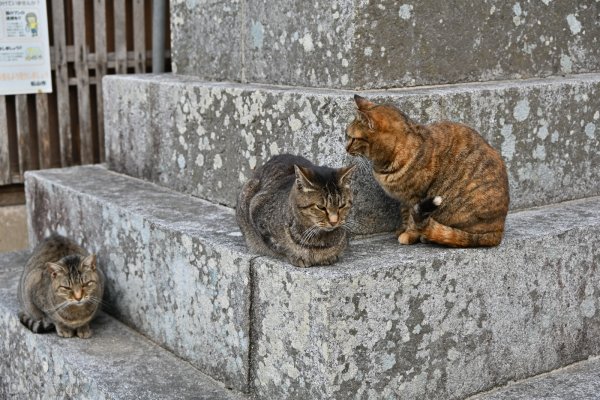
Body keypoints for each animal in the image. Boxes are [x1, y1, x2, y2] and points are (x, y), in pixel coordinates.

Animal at [346, 95, 510, 248]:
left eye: (352, 138)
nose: (345, 148)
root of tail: (498, 231)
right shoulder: (405, 199)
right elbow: (405, 215)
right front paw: (403, 229)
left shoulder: (416, 196)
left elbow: (412, 219)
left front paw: (409, 235)